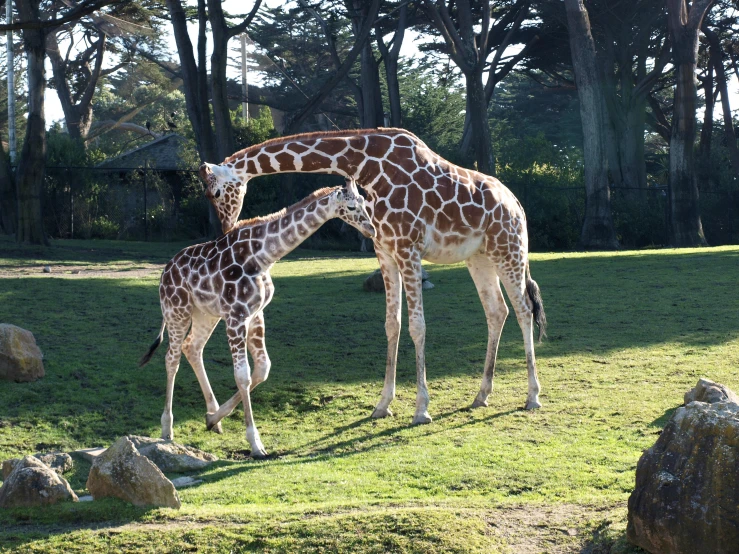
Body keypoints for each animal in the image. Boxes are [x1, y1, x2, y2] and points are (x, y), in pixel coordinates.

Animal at [140, 183, 376, 454]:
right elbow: (242, 375)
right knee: (172, 357)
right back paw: (167, 428)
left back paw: (213, 419)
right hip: (177, 310)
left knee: (192, 348)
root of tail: (164, 272)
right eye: (352, 206)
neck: (263, 257)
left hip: (205, 314)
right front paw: (255, 443)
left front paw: (212, 419)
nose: (371, 230)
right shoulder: (236, 315)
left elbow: (262, 369)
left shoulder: (255, 313)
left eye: (365, 202)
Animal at [199, 127, 548, 424]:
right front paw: (383, 405)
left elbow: (417, 326)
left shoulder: (408, 247)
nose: (226, 229)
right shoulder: (385, 250)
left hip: (509, 249)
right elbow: (392, 324)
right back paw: (481, 395)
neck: (368, 165)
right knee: (497, 311)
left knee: (524, 309)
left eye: (214, 192)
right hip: (479, 258)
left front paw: (421, 410)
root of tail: (517, 204)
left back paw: (532, 397)